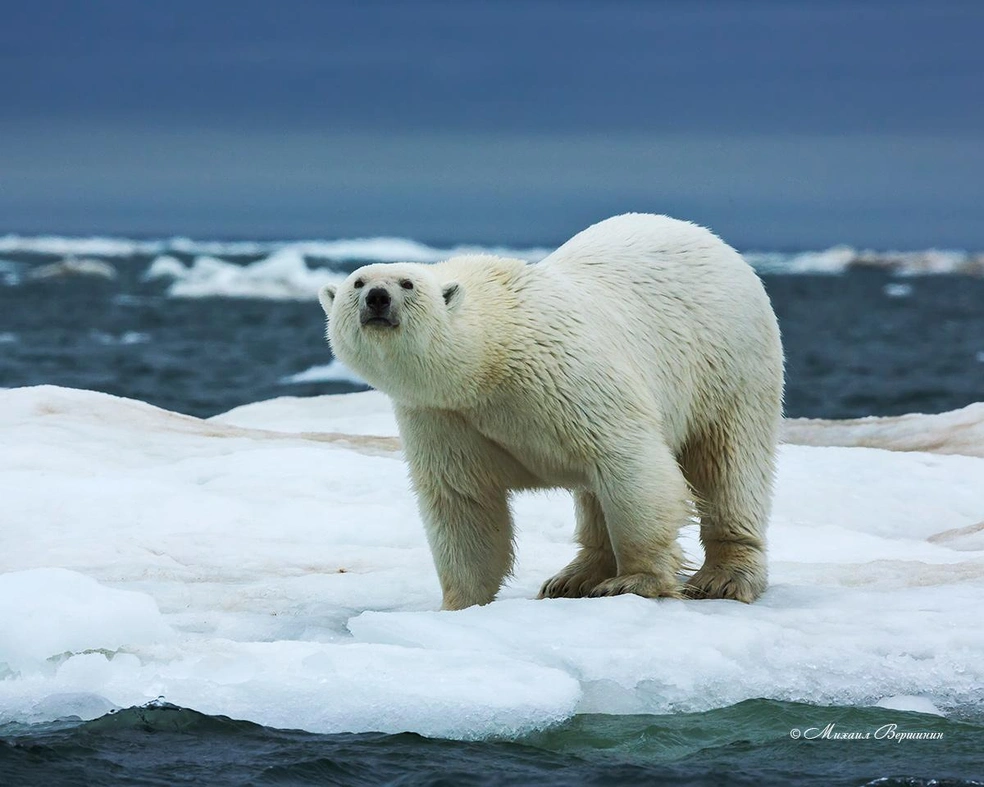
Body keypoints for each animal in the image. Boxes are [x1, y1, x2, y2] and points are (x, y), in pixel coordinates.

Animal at [320, 214, 780, 608]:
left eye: (407, 283)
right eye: (357, 281)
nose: (377, 298)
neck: (493, 352)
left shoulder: (566, 376)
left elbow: (629, 461)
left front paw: (635, 581)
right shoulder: (443, 415)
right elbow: (463, 499)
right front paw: (459, 603)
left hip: (729, 364)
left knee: (728, 464)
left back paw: (724, 577)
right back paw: (573, 578)